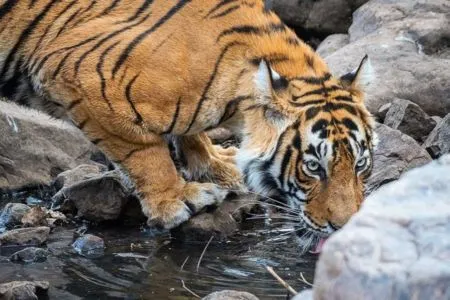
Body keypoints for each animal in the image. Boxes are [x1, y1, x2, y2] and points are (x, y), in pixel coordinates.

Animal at [0, 0, 374, 248]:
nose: (343, 228)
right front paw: (177, 199)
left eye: (360, 165)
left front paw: (218, 165)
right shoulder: (79, 75)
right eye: (313, 168)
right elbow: (144, 152)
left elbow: (188, 131)